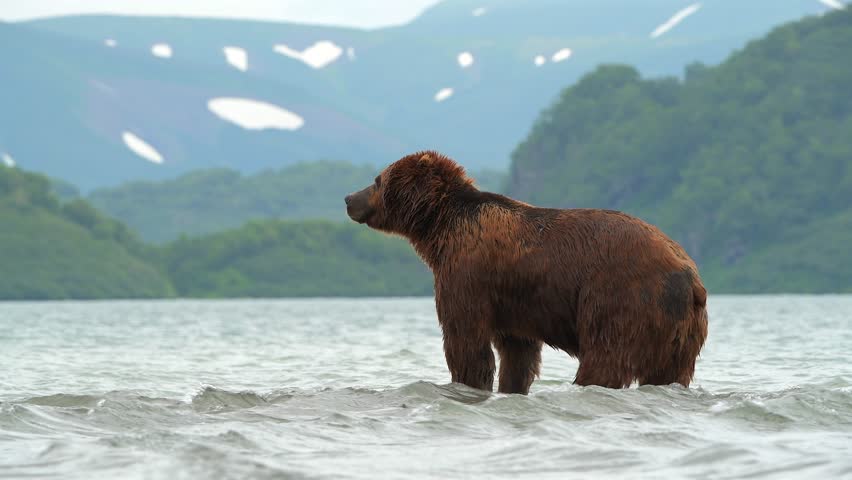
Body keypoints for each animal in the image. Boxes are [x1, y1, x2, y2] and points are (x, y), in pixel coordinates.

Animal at [345, 151, 708, 394]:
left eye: (377, 180)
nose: (349, 198)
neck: (441, 230)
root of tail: (690, 276)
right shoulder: (514, 305)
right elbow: (518, 354)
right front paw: (510, 386)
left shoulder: (467, 274)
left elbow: (466, 338)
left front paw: (468, 381)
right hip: (680, 331)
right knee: (669, 373)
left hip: (621, 297)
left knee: (606, 356)